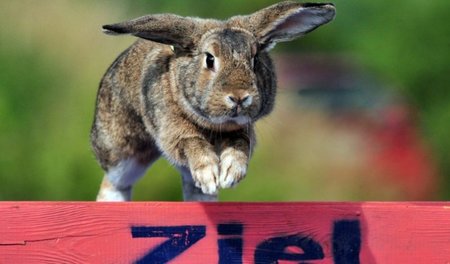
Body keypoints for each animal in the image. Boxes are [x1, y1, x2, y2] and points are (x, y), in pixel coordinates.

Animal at [90, 0, 334, 202]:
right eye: (209, 59)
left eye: (255, 60)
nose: (239, 97)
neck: (215, 124)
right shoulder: (172, 130)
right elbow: (192, 142)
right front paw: (209, 175)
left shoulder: (242, 131)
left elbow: (239, 146)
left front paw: (229, 175)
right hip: (122, 154)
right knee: (115, 182)